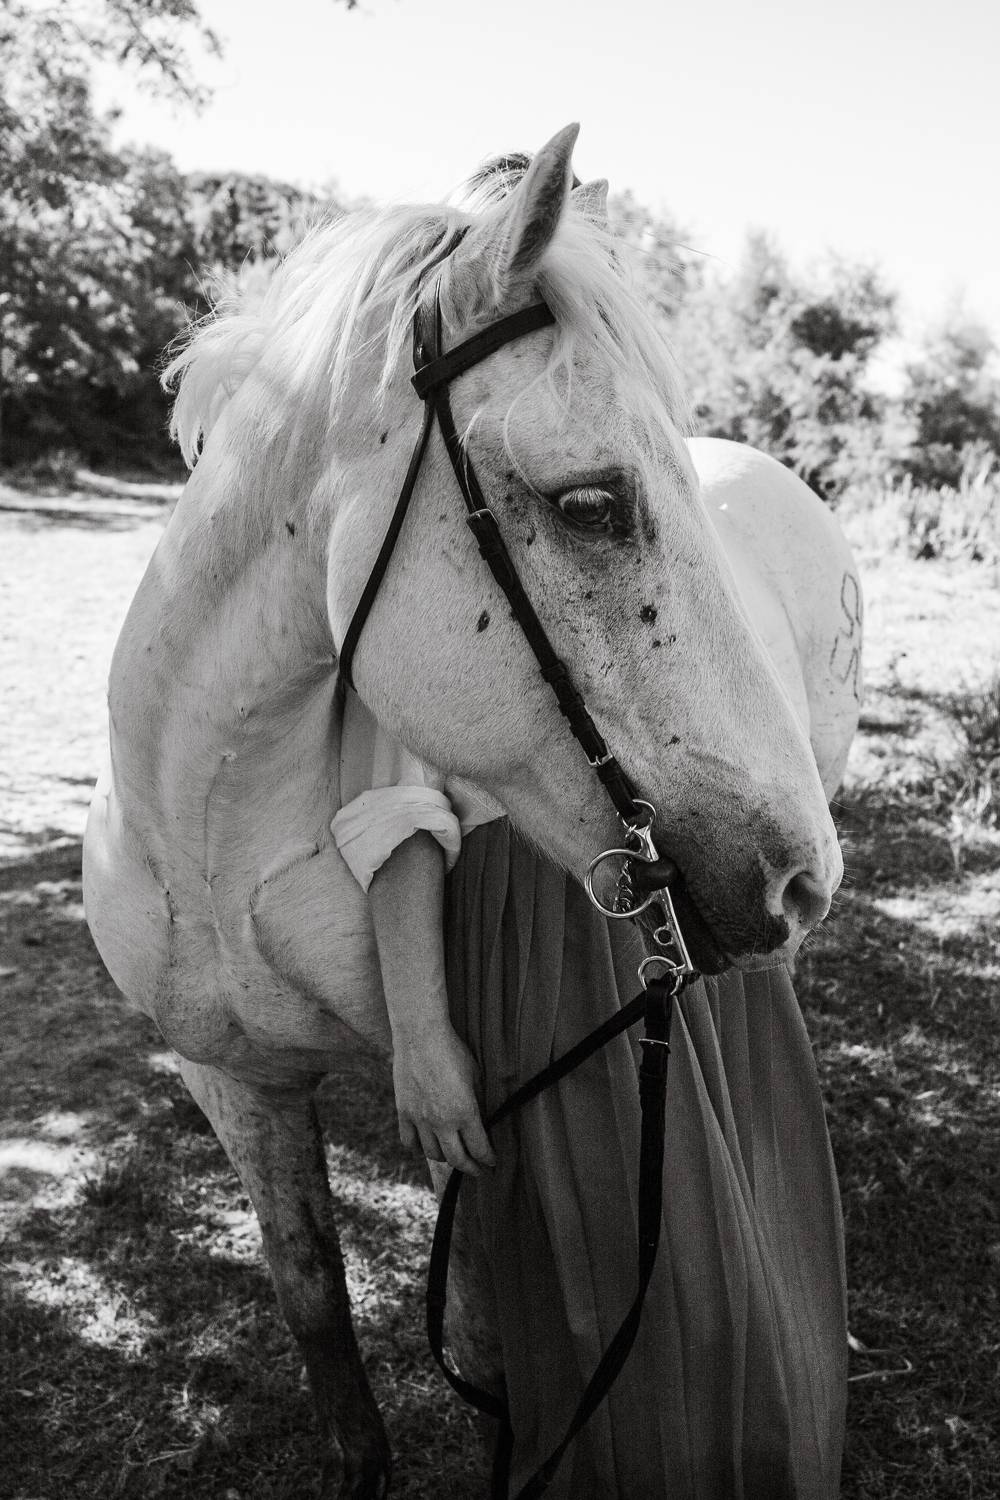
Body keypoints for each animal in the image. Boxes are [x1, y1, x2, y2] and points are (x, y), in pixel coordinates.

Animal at [83, 124, 857, 1497]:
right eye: (591, 504)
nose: (796, 879)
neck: (215, 835)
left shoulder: (492, 1121)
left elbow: (500, 1368)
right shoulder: (233, 1083)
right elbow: (316, 1310)